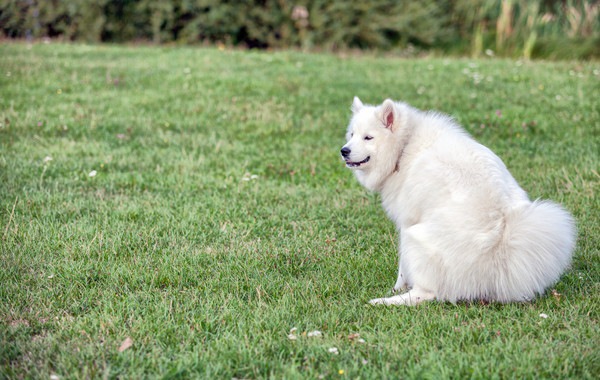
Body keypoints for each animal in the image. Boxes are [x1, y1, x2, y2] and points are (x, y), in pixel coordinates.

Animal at [340, 98, 576, 306]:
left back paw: (384, 301)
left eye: (368, 138)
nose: (344, 151)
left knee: (425, 294)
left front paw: (396, 288)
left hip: (414, 239)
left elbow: (401, 269)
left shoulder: (406, 223)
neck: (405, 146)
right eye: (352, 134)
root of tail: (499, 251)